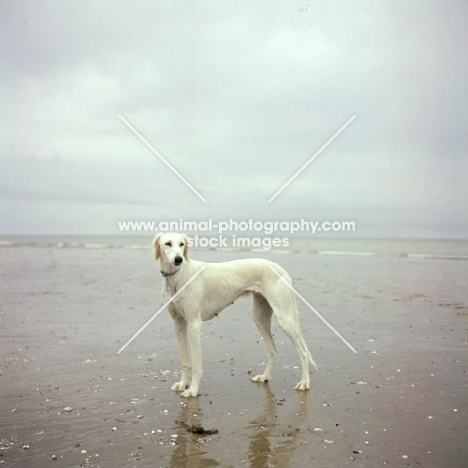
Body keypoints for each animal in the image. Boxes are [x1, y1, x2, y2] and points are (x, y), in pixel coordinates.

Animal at [152, 232, 316, 396]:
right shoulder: (178, 323)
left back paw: (304, 382)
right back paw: (264, 377)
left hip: (284, 319)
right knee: (273, 351)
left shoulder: (194, 324)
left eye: (182, 244)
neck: (178, 276)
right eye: (167, 243)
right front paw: (183, 384)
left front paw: (192, 390)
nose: (178, 259)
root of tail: (281, 269)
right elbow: (184, 359)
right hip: (260, 317)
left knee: (303, 351)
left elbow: (196, 364)